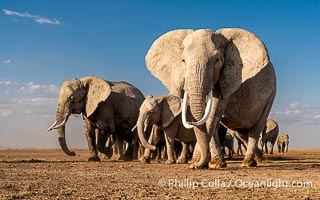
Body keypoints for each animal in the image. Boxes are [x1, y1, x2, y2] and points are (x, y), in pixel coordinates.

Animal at [146, 27, 276, 169]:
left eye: (217, 60)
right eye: (183, 61)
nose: (195, 164)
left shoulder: (228, 78)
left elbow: (213, 112)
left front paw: (196, 164)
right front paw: (214, 164)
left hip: (271, 92)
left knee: (256, 127)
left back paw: (247, 163)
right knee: (241, 131)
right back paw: (257, 158)